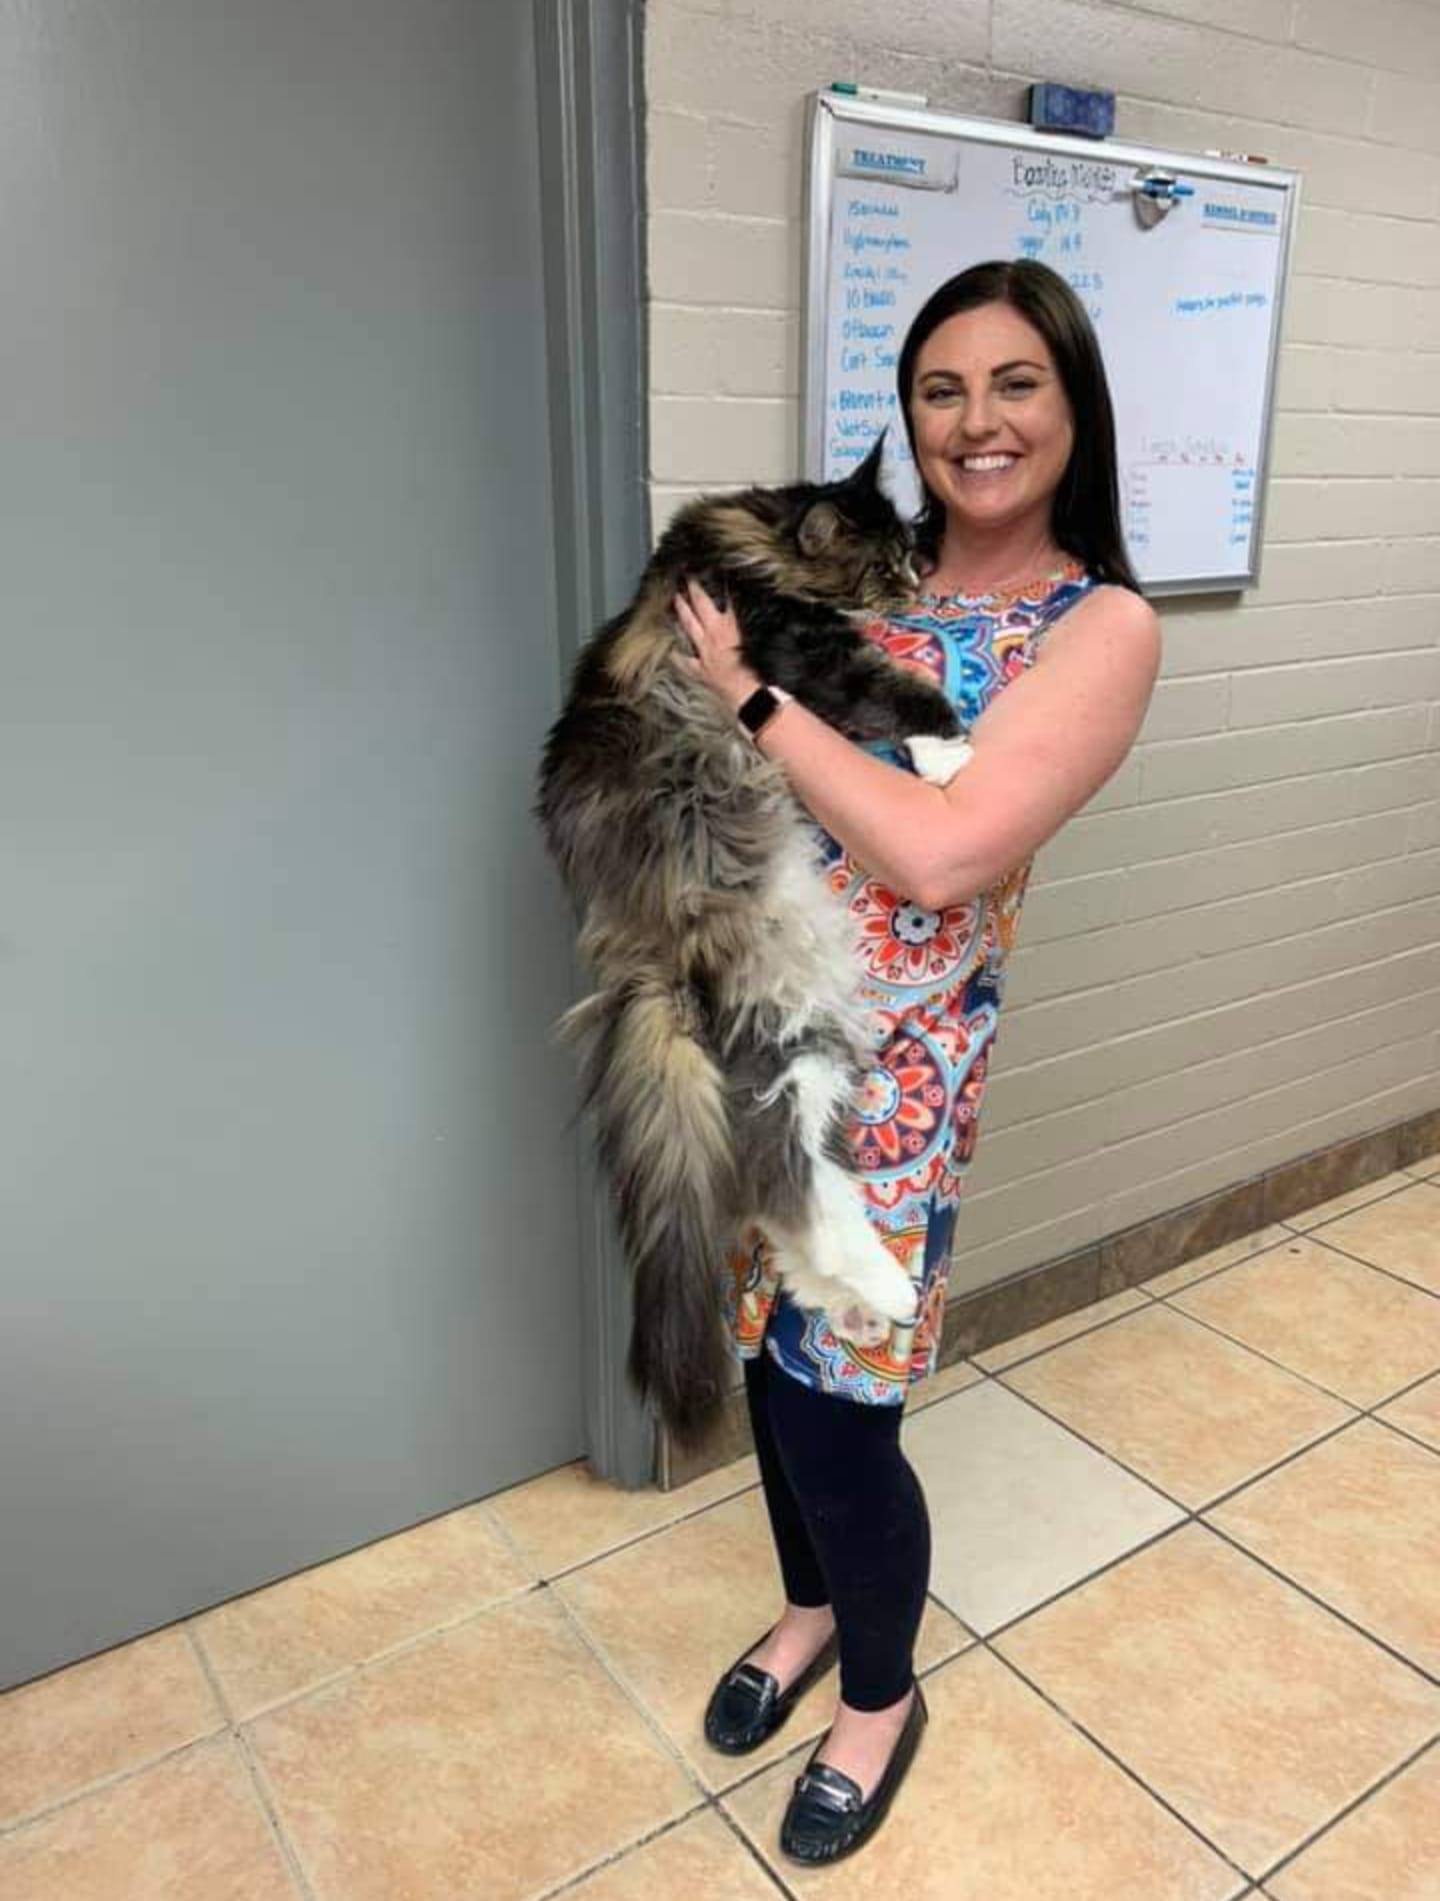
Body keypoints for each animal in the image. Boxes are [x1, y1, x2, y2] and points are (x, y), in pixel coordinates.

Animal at [536, 436, 975, 1448]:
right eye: (888, 563)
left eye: (910, 550)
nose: (921, 578)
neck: (750, 539)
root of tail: (646, 962)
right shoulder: (799, 652)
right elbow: (905, 688)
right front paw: (955, 754)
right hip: (779, 1042)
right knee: (795, 1182)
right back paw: (887, 1292)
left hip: (807, 1052)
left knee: (790, 1200)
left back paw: (862, 1307)